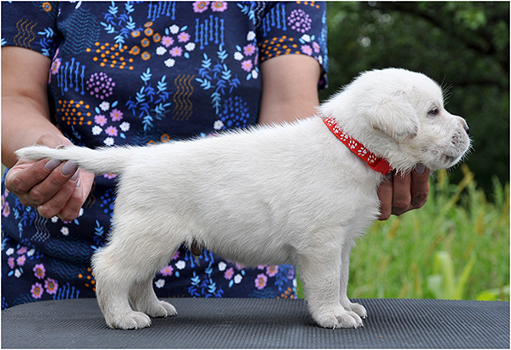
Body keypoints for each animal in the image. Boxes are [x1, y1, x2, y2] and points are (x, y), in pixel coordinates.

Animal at [16, 68, 472, 330]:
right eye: (433, 112)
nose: (465, 128)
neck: (350, 146)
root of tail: (137, 157)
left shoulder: (340, 242)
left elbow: (341, 278)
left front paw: (347, 306)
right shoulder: (321, 243)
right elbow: (326, 283)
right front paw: (332, 316)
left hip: (156, 238)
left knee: (139, 276)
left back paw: (154, 307)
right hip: (148, 232)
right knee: (110, 267)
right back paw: (122, 318)